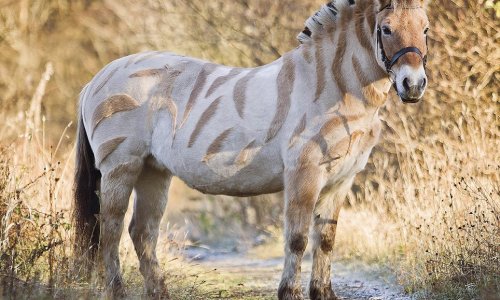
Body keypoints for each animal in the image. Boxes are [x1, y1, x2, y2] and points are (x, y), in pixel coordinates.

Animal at [72, 0, 428, 298]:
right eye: (386, 29)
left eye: (425, 29)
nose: (413, 86)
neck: (331, 87)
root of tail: (97, 79)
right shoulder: (304, 173)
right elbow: (297, 239)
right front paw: (290, 294)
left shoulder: (342, 179)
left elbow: (325, 240)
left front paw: (324, 294)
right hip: (121, 166)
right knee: (111, 228)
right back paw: (117, 292)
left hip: (153, 170)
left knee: (142, 232)